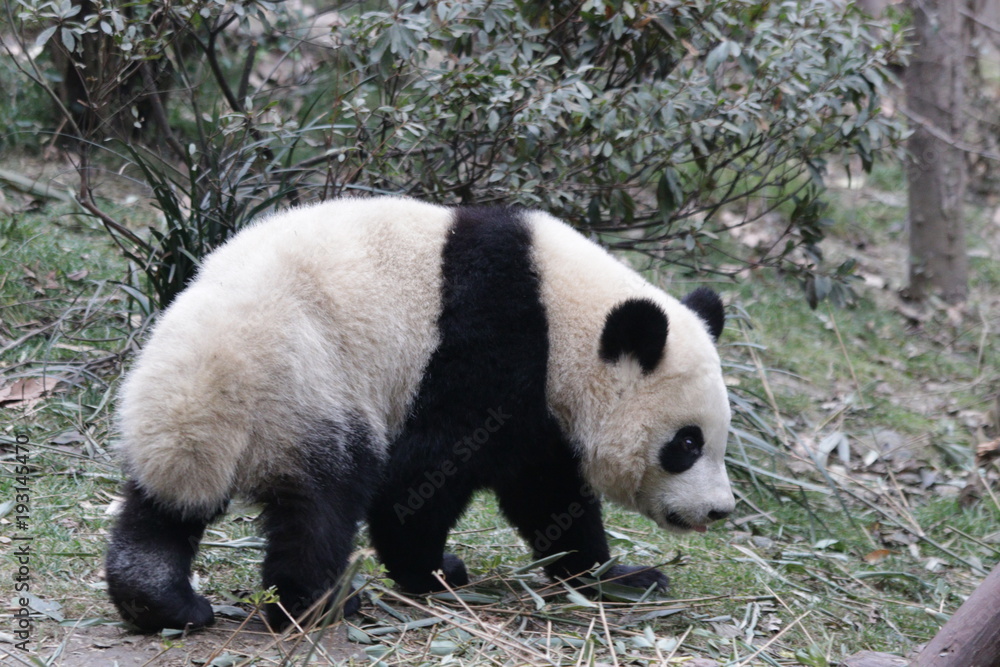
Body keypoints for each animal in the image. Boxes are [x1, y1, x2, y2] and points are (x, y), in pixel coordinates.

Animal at [105, 196, 735, 632]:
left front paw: (620, 577)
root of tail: (212, 363)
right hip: (306, 384)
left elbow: (547, 493)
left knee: (163, 504)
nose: (719, 509)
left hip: (186, 412)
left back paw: (159, 601)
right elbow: (423, 477)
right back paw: (322, 604)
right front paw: (433, 571)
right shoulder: (489, 348)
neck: (565, 315)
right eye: (686, 444)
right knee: (323, 500)